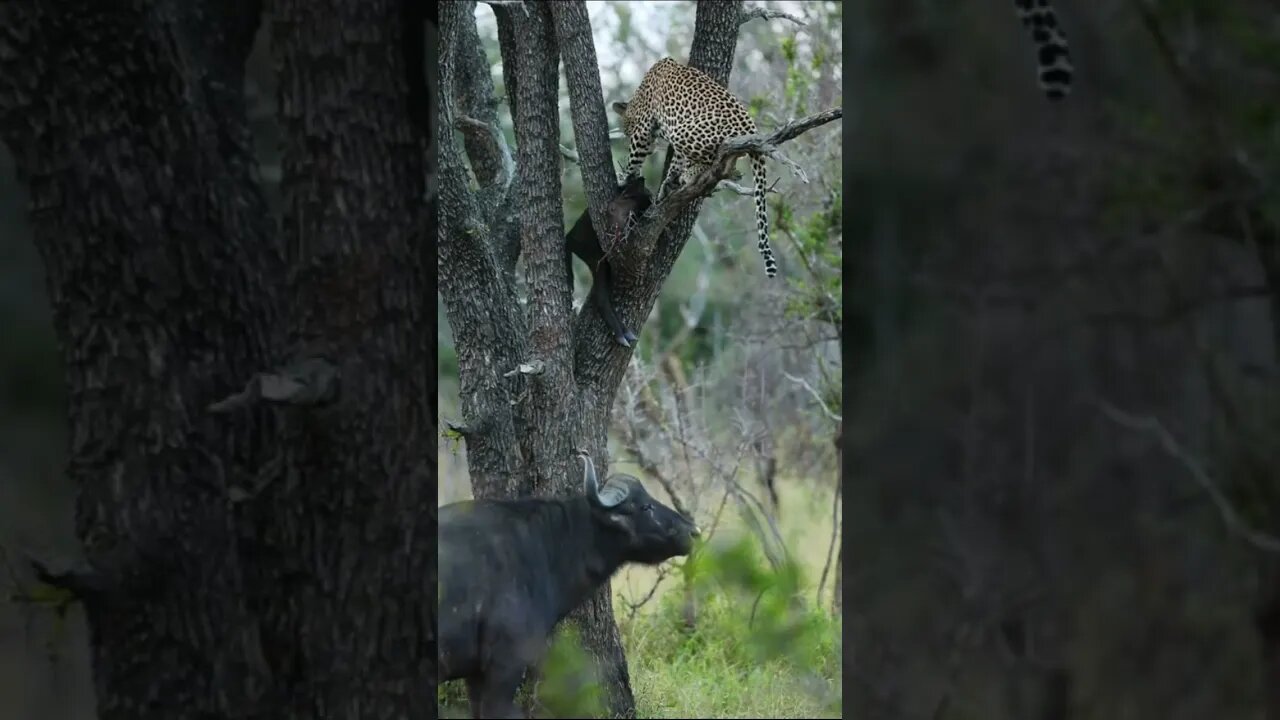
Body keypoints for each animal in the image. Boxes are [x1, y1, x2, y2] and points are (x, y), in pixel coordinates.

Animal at [611, 56, 778, 278]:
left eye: (627, 131)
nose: (652, 150)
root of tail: (750, 128)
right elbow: (676, 161)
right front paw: (667, 184)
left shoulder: (644, 129)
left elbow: (635, 158)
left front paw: (625, 177)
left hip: (686, 133)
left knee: (716, 157)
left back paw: (695, 173)